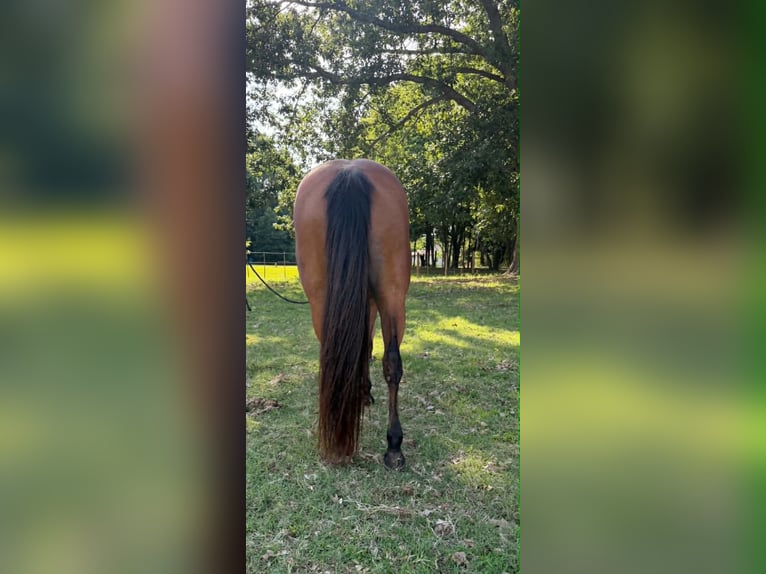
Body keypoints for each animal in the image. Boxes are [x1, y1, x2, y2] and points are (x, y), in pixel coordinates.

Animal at [293, 159, 411, 469]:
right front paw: (364, 391)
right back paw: (394, 445)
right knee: (392, 362)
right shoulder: (370, 305)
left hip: (322, 297)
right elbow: (366, 348)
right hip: (391, 294)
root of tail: (350, 172)